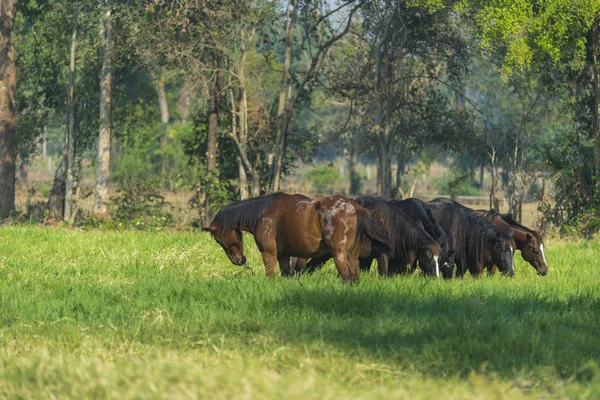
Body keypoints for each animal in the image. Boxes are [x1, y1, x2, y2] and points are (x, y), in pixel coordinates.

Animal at [204, 193, 394, 282]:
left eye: (220, 240)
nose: (239, 261)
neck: (263, 213)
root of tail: (353, 205)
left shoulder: (269, 255)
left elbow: (270, 276)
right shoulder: (283, 256)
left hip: (339, 255)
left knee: (347, 277)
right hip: (352, 256)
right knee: (354, 278)